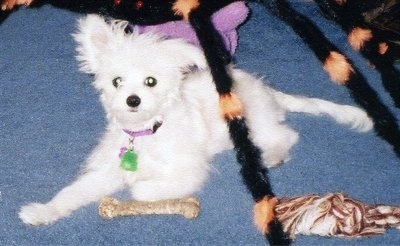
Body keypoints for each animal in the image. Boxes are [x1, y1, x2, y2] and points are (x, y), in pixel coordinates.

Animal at [18, 14, 374, 227]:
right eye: (117, 81)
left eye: (151, 82)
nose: (132, 100)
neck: (147, 134)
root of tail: (268, 91)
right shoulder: (106, 170)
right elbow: (72, 193)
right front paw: (42, 211)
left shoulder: (189, 171)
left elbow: (144, 191)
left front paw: (137, 186)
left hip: (255, 126)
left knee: (286, 136)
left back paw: (273, 155)